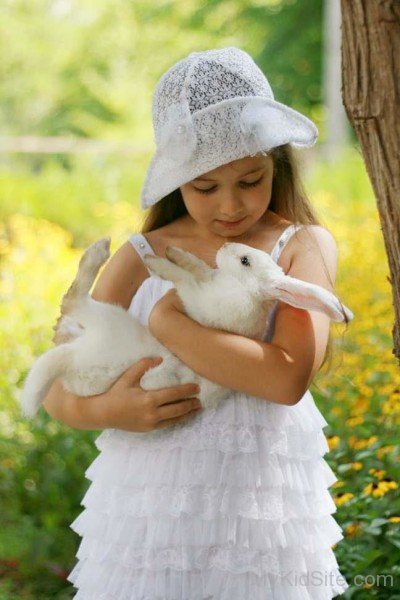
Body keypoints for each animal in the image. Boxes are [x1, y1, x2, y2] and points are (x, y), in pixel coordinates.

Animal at [20, 234, 354, 418]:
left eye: (245, 260)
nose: (226, 244)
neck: (244, 288)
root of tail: (72, 359)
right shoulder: (206, 282)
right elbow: (198, 269)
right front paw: (175, 253)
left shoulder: (201, 301)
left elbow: (185, 280)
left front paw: (157, 262)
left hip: (108, 320)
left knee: (73, 300)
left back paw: (98, 251)